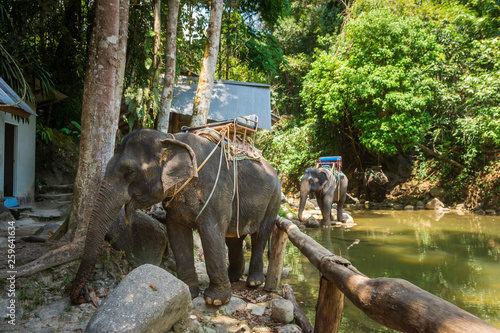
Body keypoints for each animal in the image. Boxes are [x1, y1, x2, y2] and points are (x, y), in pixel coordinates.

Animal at [70, 128, 282, 304]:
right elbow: (176, 233)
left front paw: (215, 300)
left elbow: (211, 233)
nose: (83, 297)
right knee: (234, 238)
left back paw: (253, 282)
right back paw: (233, 277)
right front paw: (189, 291)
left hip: (274, 198)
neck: (170, 138)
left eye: (129, 171)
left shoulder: (216, 191)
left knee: (261, 234)